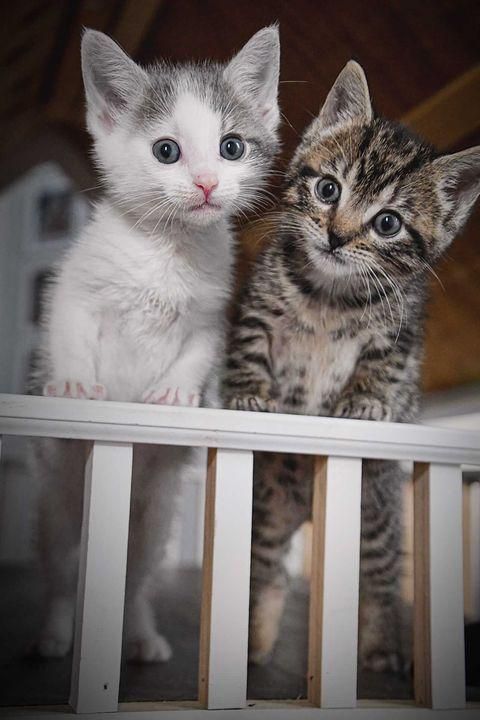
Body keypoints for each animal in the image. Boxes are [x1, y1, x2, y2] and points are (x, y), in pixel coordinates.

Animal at [34, 26, 282, 660]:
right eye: (166, 151)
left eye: (231, 148)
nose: (207, 183)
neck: (167, 248)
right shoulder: (75, 285)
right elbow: (68, 324)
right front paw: (74, 383)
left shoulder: (211, 314)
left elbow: (195, 353)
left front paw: (173, 394)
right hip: (60, 496)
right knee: (61, 566)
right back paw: (55, 631)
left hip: (155, 513)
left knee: (135, 577)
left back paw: (141, 634)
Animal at [222, 59, 480, 672]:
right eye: (327, 188)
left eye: (388, 224)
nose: (337, 236)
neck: (330, 294)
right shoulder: (257, 307)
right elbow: (249, 349)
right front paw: (247, 392)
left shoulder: (400, 333)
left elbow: (382, 368)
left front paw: (362, 402)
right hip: (269, 506)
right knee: (267, 570)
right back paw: (254, 642)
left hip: (374, 513)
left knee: (379, 581)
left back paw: (383, 646)